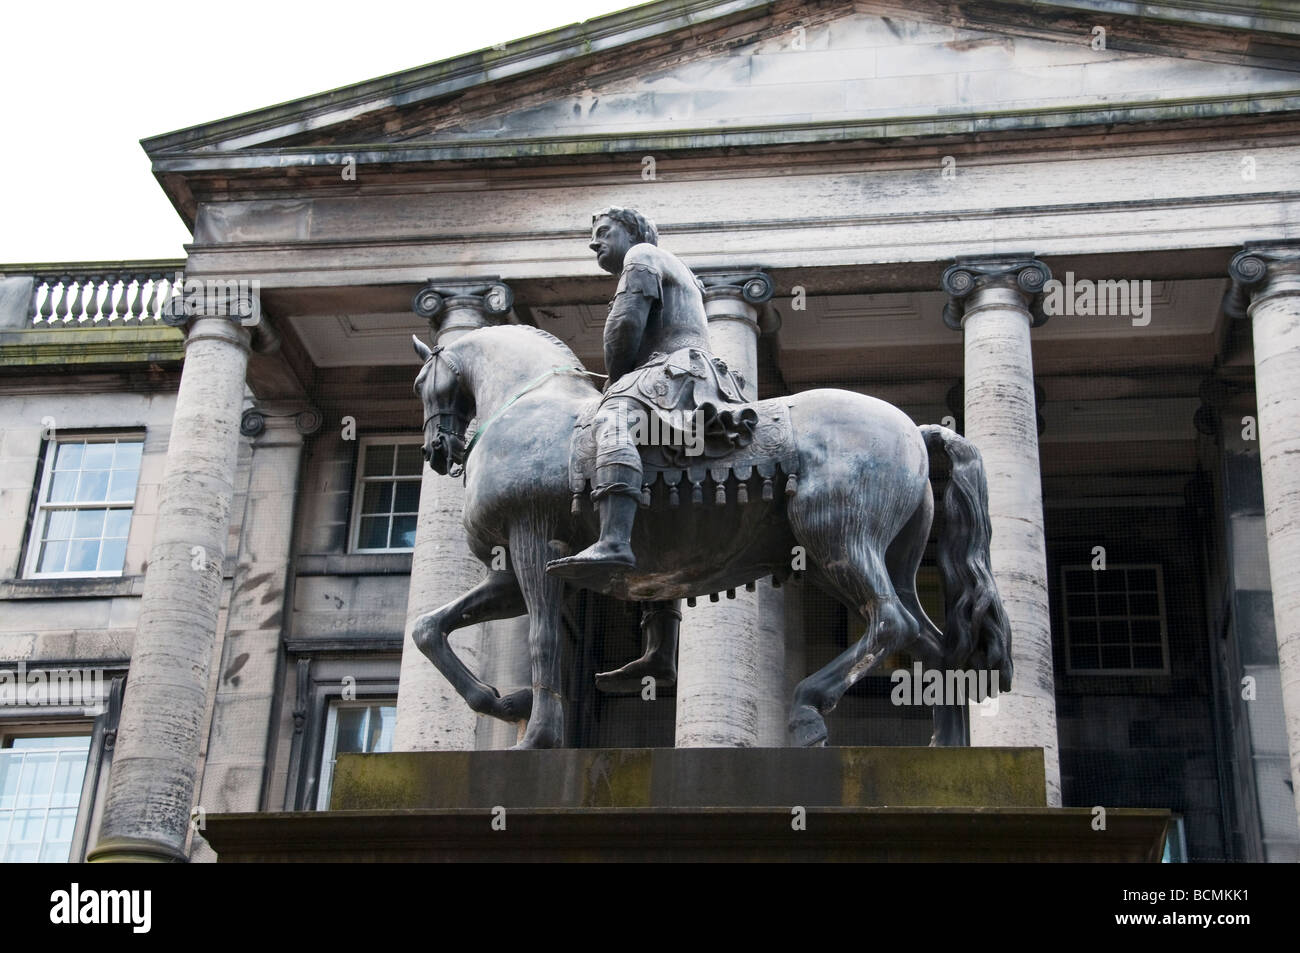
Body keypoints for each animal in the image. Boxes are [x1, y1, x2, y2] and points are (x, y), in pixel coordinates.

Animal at [410, 323, 1008, 748]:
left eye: (420, 384)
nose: (436, 452)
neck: (528, 408)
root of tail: (915, 427)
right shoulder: (509, 571)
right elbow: (428, 628)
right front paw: (501, 702)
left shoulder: (534, 541)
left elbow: (543, 640)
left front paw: (537, 737)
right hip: (872, 557)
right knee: (931, 643)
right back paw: (946, 751)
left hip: (837, 538)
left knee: (890, 621)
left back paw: (808, 709)